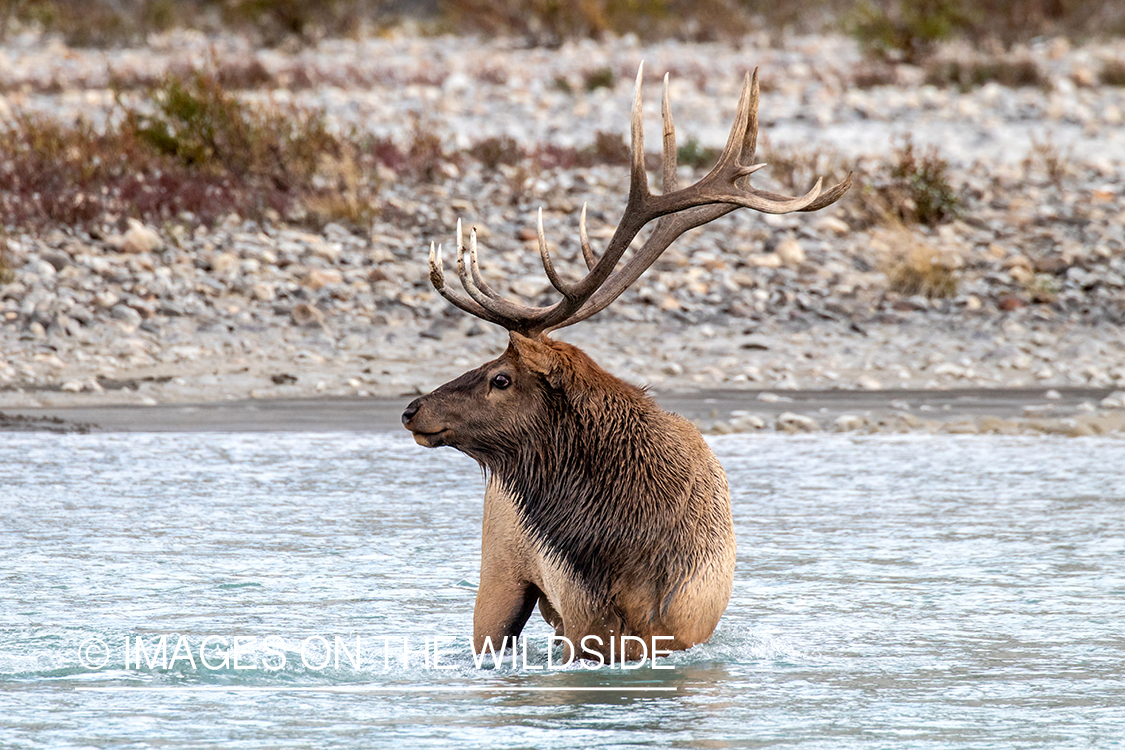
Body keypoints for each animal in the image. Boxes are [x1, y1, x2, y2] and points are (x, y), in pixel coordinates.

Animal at [400, 66, 846, 661]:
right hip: (499, 576)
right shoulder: (581, 623)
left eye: (501, 377)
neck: (629, 555)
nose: (412, 409)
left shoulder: (685, 628)